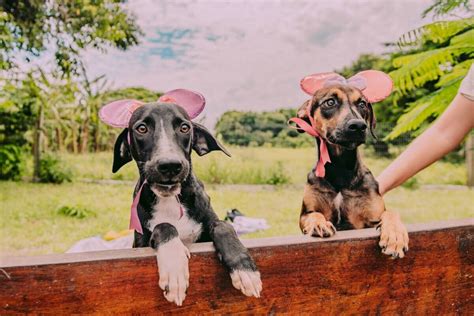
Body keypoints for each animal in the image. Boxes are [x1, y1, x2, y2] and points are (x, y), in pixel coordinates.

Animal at [111, 102, 262, 304]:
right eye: (141, 128)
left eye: (184, 127)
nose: (170, 165)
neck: (170, 200)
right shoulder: (140, 244)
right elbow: (164, 226)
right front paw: (174, 269)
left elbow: (224, 226)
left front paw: (245, 269)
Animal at [294, 81, 410, 256]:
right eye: (330, 102)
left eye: (362, 104)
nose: (358, 126)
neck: (341, 169)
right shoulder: (306, 213)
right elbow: (314, 214)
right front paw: (320, 224)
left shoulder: (372, 217)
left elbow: (390, 213)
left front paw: (395, 236)